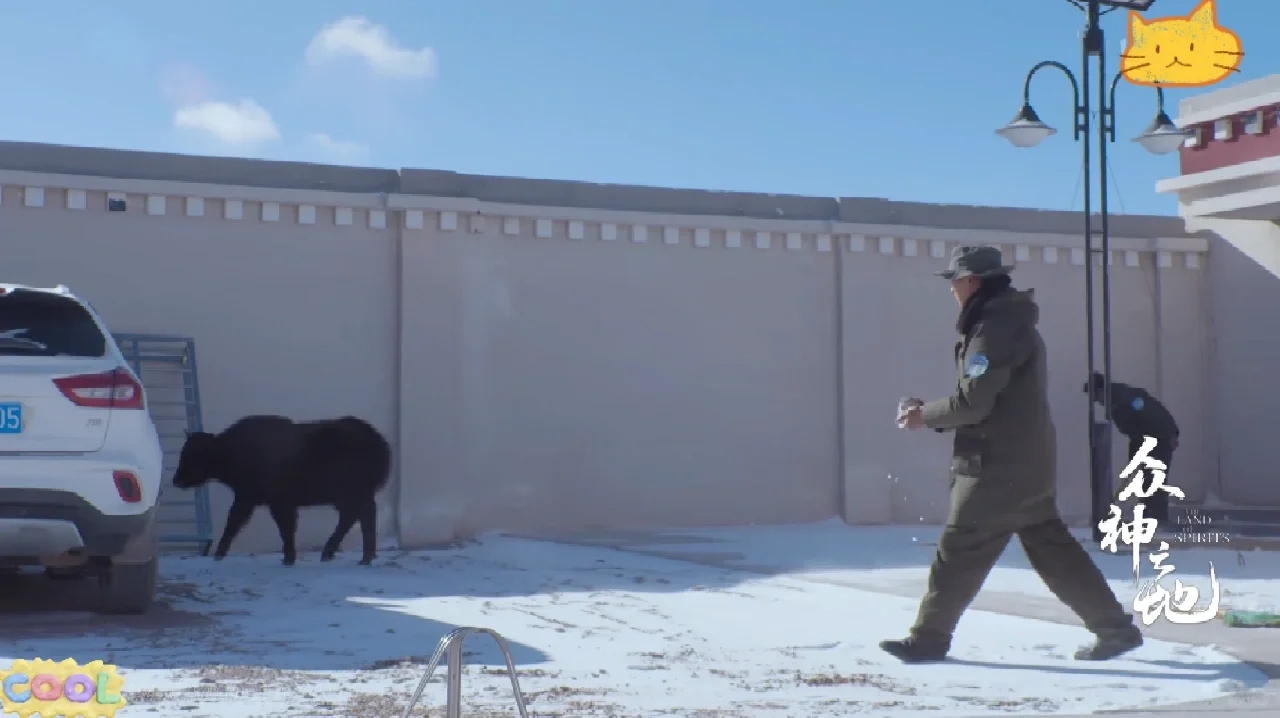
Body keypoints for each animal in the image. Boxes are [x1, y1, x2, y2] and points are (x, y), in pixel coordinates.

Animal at [171, 414, 389, 565]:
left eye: (194, 455)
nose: (176, 480)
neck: (231, 450)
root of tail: (379, 441)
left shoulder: (264, 500)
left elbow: (270, 526)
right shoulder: (255, 500)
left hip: (353, 493)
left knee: (361, 516)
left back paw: (358, 556)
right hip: (349, 496)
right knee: (353, 517)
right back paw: (347, 554)